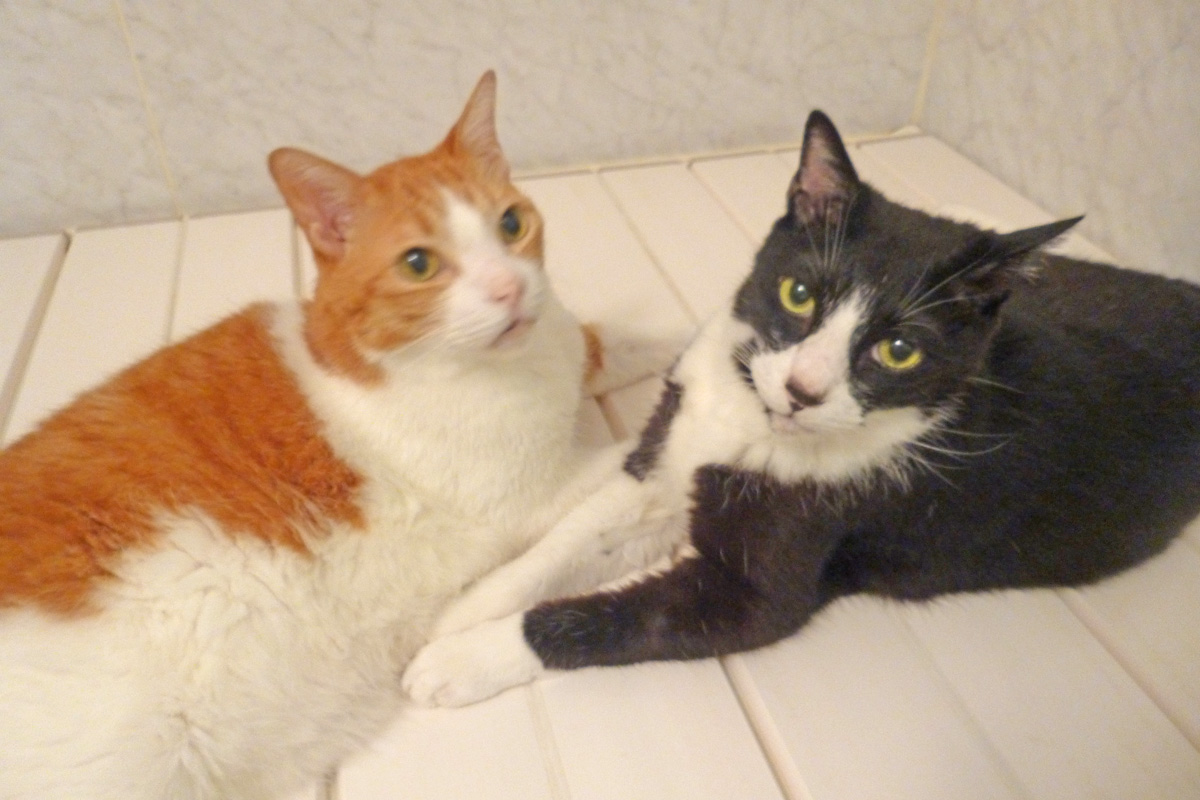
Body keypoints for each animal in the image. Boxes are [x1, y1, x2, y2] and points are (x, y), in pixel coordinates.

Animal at [0, 71, 635, 799]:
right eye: (420, 265)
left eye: (511, 223)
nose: (508, 289)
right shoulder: (533, 496)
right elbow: (631, 453)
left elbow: (612, 345)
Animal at [403, 109, 1200, 708]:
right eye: (799, 293)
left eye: (900, 350)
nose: (802, 391)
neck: (749, 419)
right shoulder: (666, 458)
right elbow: (569, 541)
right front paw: (459, 612)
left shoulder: (774, 572)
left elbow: (622, 615)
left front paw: (461, 660)